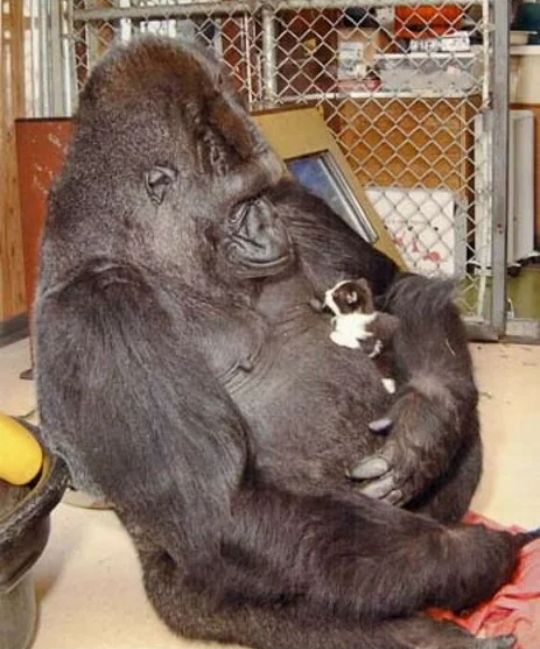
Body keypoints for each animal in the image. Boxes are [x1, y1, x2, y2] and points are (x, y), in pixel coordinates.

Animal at [34, 37, 537, 649]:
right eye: (238, 204)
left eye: (261, 192)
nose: (268, 225)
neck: (146, 249)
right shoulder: (100, 313)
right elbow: (227, 510)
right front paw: (476, 557)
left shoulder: (294, 200)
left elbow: (395, 287)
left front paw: (425, 426)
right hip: (184, 600)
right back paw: (437, 615)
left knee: (453, 428)